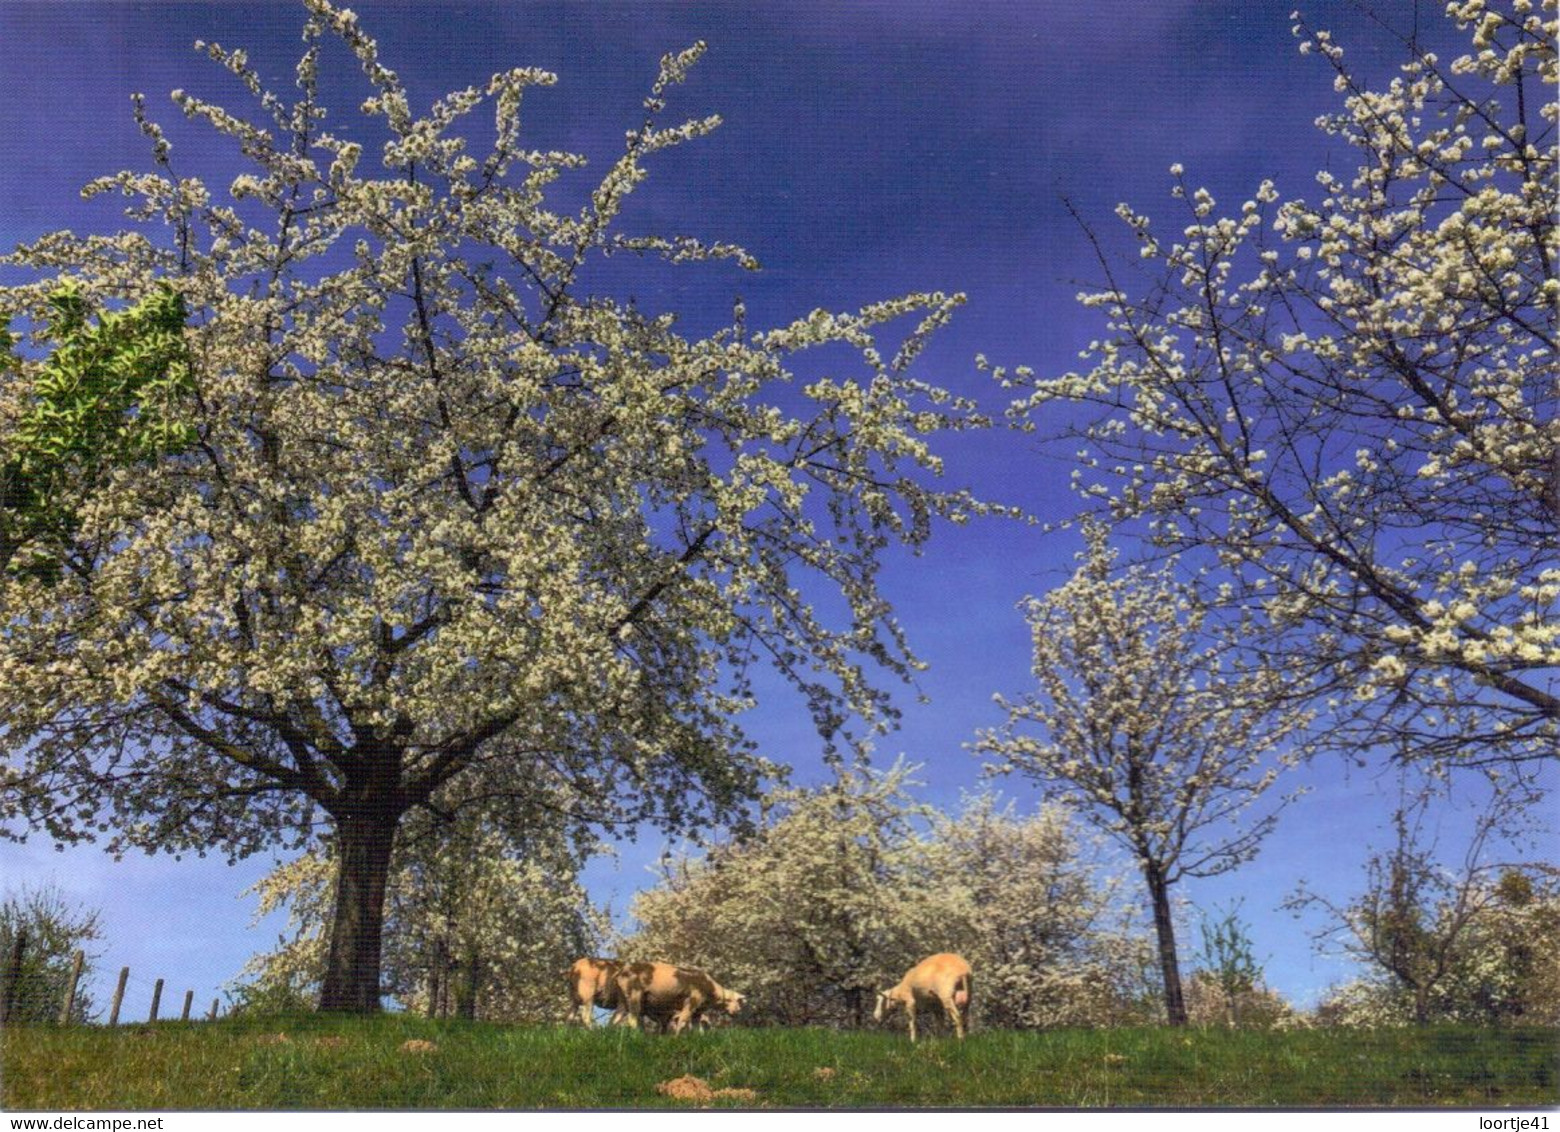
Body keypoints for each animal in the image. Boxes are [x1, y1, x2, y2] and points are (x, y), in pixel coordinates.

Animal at [611, 960, 745, 1035]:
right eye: (738, 1002)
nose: (738, 1011)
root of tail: (621, 972)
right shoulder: (691, 1002)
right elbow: (683, 1022)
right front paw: (677, 1037)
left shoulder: (697, 1012)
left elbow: (696, 1028)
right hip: (635, 994)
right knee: (632, 1019)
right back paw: (639, 1035)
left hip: (623, 998)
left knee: (615, 1019)